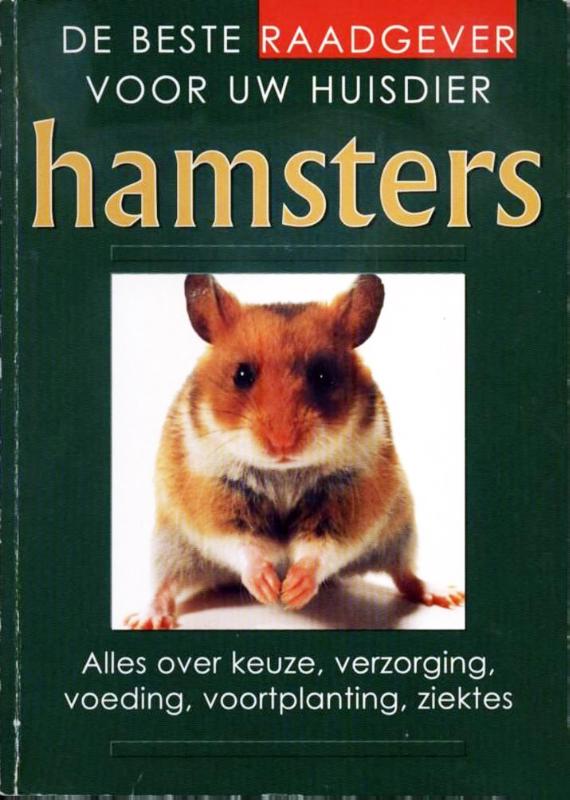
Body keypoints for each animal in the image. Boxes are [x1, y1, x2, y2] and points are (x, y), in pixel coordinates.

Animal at [125, 274, 464, 629]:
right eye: (242, 375)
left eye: (323, 375)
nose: (283, 444)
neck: (283, 472)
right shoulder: (210, 494)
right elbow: (240, 541)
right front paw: (268, 588)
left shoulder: (351, 495)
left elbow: (323, 546)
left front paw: (291, 592)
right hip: (169, 544)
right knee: (165, 583)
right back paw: (146, 619)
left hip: (400, 530)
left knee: (405, 574)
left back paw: (448, 595)